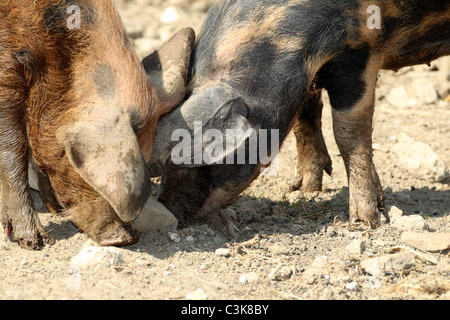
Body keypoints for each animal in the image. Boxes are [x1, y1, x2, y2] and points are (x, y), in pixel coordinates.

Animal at [149, 0, 450, 230]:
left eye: (203, 162)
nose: (170, 211)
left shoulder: (360, 52)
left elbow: (348, 134)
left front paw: (365, 221)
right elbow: (306, 117)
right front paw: (302, 190)